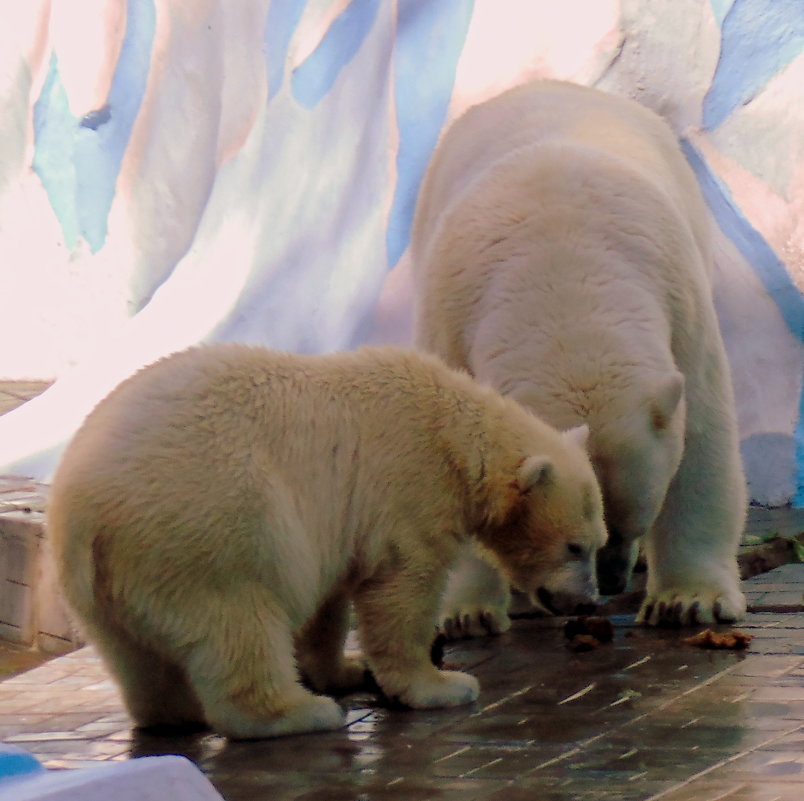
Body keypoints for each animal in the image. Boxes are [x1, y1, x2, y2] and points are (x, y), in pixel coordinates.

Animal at [414, 81, 748, 632]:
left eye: (635, 519)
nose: (609, 583)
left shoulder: (682, 306)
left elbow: (702, 436)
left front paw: (686, 601)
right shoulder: (450, 318)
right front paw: (467, 614)